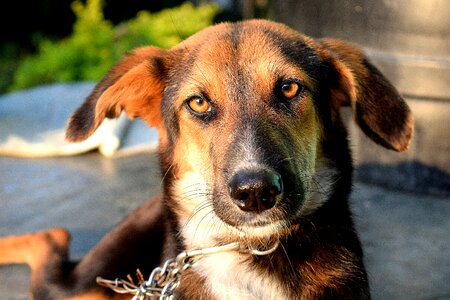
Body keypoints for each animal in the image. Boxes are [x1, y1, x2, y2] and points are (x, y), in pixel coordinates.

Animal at [0, 19, 414, 298]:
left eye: (289, 88)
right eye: (198, 102)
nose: (255, 193)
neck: (251, 252)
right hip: (82, 284)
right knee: (50, 240)